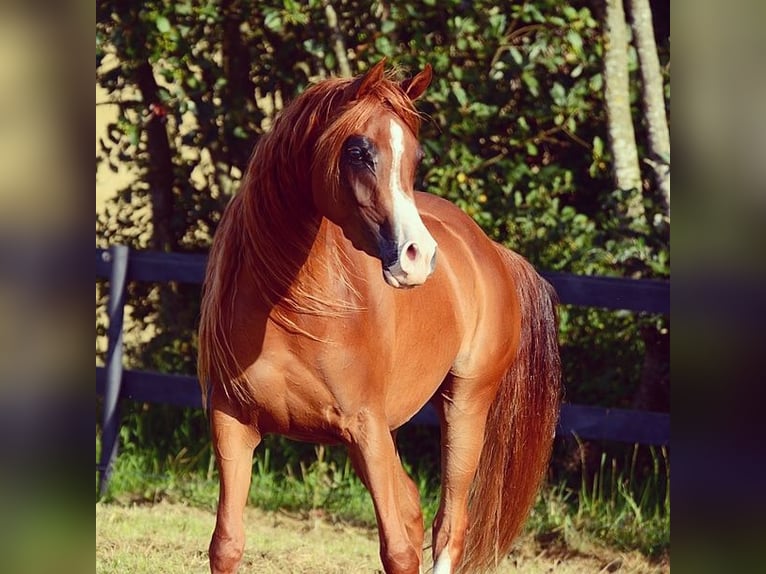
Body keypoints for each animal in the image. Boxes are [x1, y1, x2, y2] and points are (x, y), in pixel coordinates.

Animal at [195, 60, 560, 572]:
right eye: (357, 151)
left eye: (416, 156)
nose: (417, 256)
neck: (290, 312)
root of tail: (490, 249)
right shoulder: (232, 423)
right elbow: (226, 543)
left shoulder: (366, 428)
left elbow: (399, 550)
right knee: (414, 507)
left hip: (465, 406)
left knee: (449, 525)